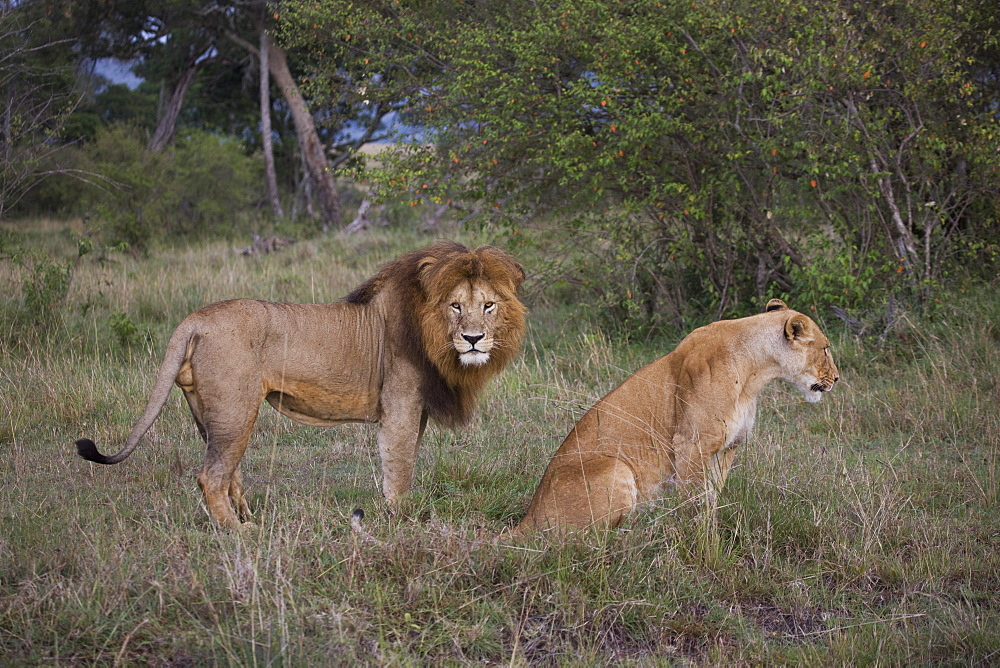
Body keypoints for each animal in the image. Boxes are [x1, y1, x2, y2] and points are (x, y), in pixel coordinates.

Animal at [75, 240, 528, 528]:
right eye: (456, 306)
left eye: (489, 305)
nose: (473, 338)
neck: (432, 333)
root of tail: (194, 320)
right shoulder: (399, 406)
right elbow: (399, 468)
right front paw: (400, 522)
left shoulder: (415, 413)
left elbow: (406, 464)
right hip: (236, 409)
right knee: (212, 477)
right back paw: (239, 535)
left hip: (209, 414)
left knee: (228, 473)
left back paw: (250, 520)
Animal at [516, 300, 836, 536]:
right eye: (825, 348)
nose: (836, 378)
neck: (754, 373)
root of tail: (528, 517)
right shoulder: (692, 444)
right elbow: (694, 500)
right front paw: (697, 538)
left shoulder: (728, 448)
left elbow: (712, 497)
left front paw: (711, 529)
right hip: (616, 467)